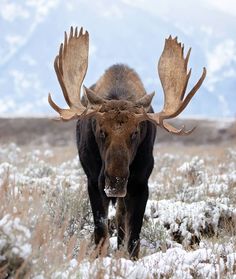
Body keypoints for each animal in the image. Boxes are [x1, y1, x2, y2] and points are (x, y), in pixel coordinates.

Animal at [48, 26, 206, 260]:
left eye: (135, 133)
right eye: (101, 130)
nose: (115, 182)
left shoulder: (141, 183)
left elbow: (134, 235)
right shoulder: (93, 181)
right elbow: (101, 230)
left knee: (122, 218)